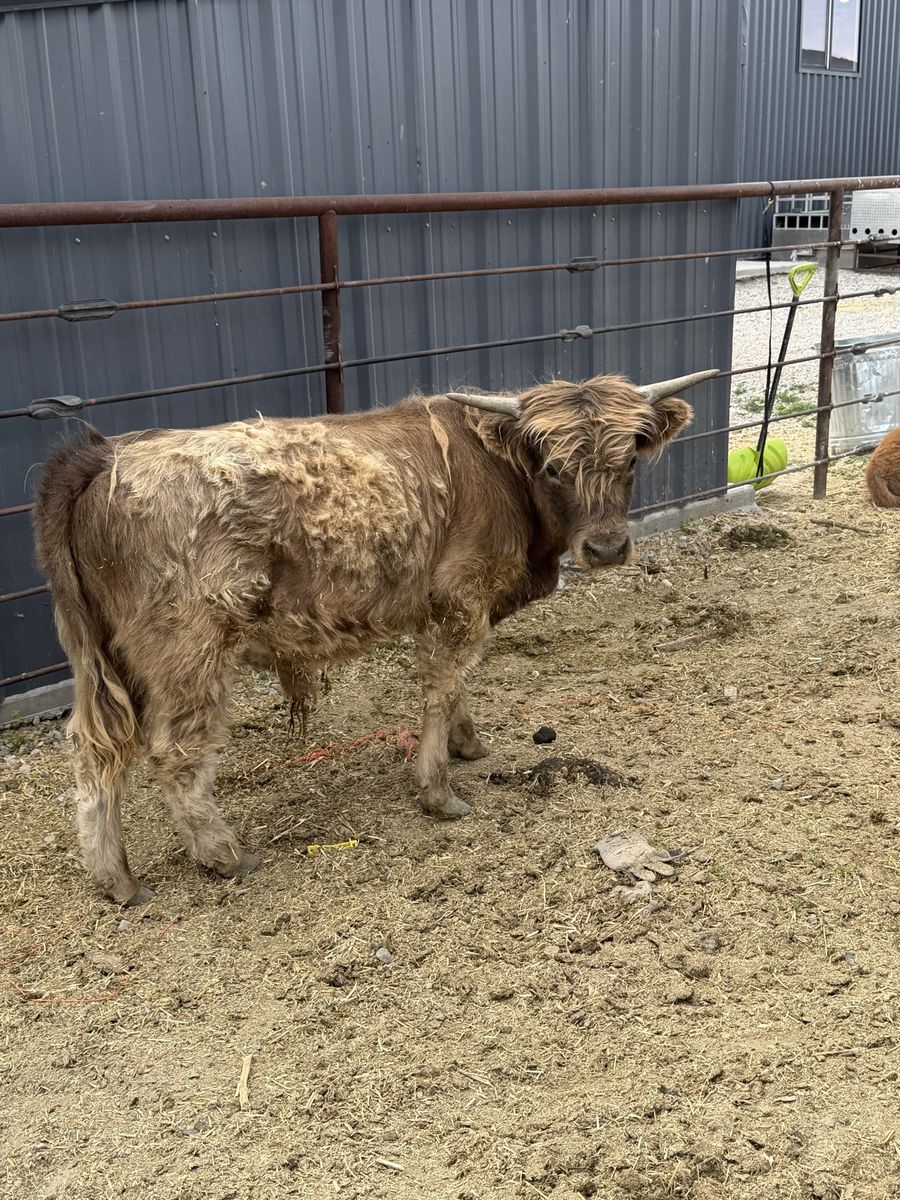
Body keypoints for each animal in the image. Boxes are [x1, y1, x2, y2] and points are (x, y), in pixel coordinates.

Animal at [33, 369, 714, 904]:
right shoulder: (460, 598)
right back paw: (224, 855)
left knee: (94, 752)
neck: (500, 477)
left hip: (102, 660)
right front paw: (437, 790)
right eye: (552, 465)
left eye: (630, 459)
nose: (606, 548)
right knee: (175, 754)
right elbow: (441, 686)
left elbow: (459, 684)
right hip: (185, 652)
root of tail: (104, 455)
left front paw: (468, 744)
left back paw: (116, 878)